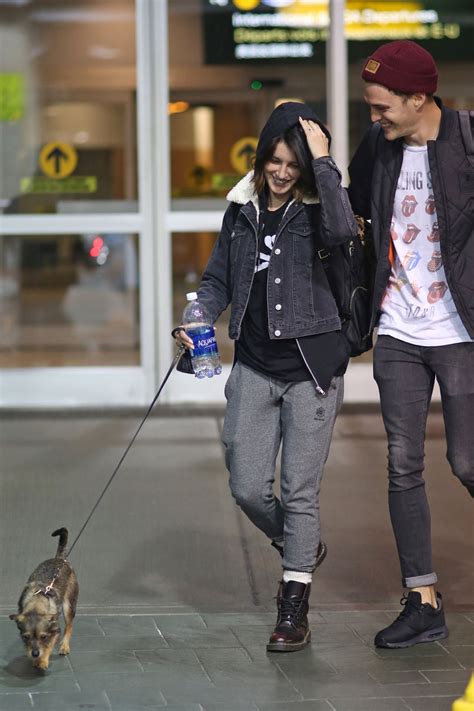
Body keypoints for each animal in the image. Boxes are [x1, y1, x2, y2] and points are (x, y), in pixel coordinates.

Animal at [10, 528, 78, 672]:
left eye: (44, 637)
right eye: (26, 637)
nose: (35, 653)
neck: (37, 602)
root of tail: (60, 559)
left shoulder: (54, 630)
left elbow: (48, 646)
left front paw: (42, 661)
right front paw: (34, 659)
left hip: (69, 604)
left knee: (69, 626)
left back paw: (64, 646)